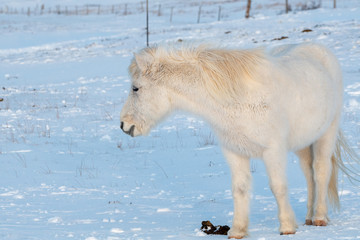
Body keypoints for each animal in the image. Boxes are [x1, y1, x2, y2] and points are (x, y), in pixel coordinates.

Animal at [120, 43, 354, 238]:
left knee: (321, 171)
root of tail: (320, 50)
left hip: (326, 134)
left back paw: (320, 217)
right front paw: (238, 230)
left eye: (135, 88)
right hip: (303, 143)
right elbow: (239, 189)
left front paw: (287, 227)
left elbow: (278, 187)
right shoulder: (234, 152)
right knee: (309, 174)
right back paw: (308, 217)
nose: (124, 125)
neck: (238, 100)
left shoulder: (273, 151)